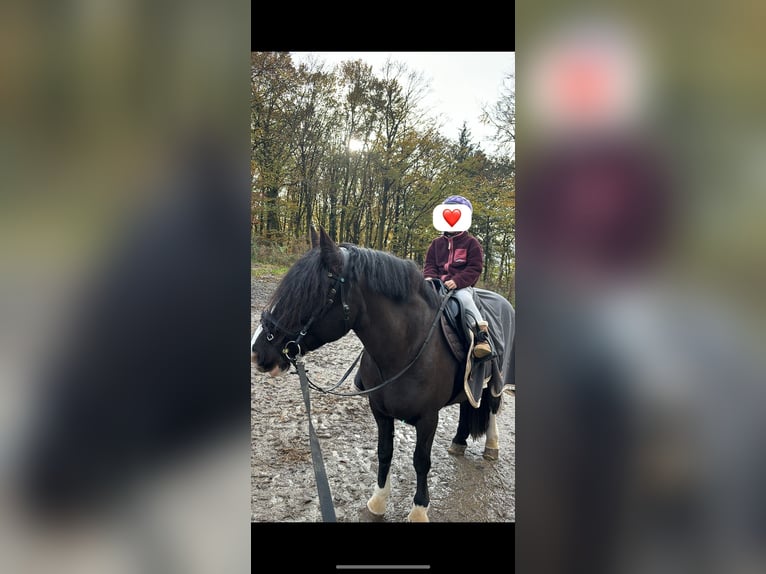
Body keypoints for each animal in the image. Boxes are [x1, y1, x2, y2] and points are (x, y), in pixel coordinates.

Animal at [251, 226, 512, 522]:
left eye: (309, 294)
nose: (258, 352)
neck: (405, 346)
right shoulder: (379, 410)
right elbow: (384, 451)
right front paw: (377, 501)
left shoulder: (428, 418)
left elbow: (421, 461)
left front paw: (419, 509)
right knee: (470, 405)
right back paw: (458, 442)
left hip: (497, 380)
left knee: (491, 407)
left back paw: (492, 447)